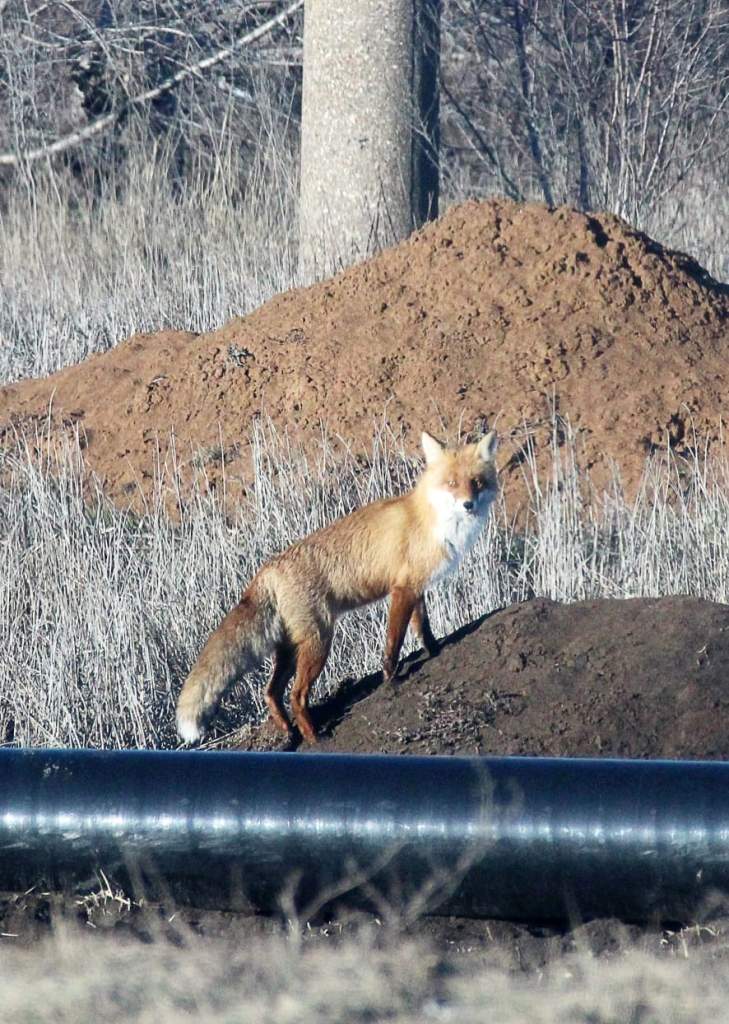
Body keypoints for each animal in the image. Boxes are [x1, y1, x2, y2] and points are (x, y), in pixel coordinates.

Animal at [176, 425, 497, 745]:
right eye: (451, 483)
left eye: (476, 483)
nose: (468, 504)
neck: (432, 520)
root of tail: (268, 568)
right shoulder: (402, 590)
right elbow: (393, 643)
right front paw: (391, 678)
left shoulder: (415, 588)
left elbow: (424, 630)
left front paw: (435, 651)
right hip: (319, 642)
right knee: (296, 695)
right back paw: (315, 736)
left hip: (292, 648)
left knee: (271, 693)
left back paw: (290, 732)